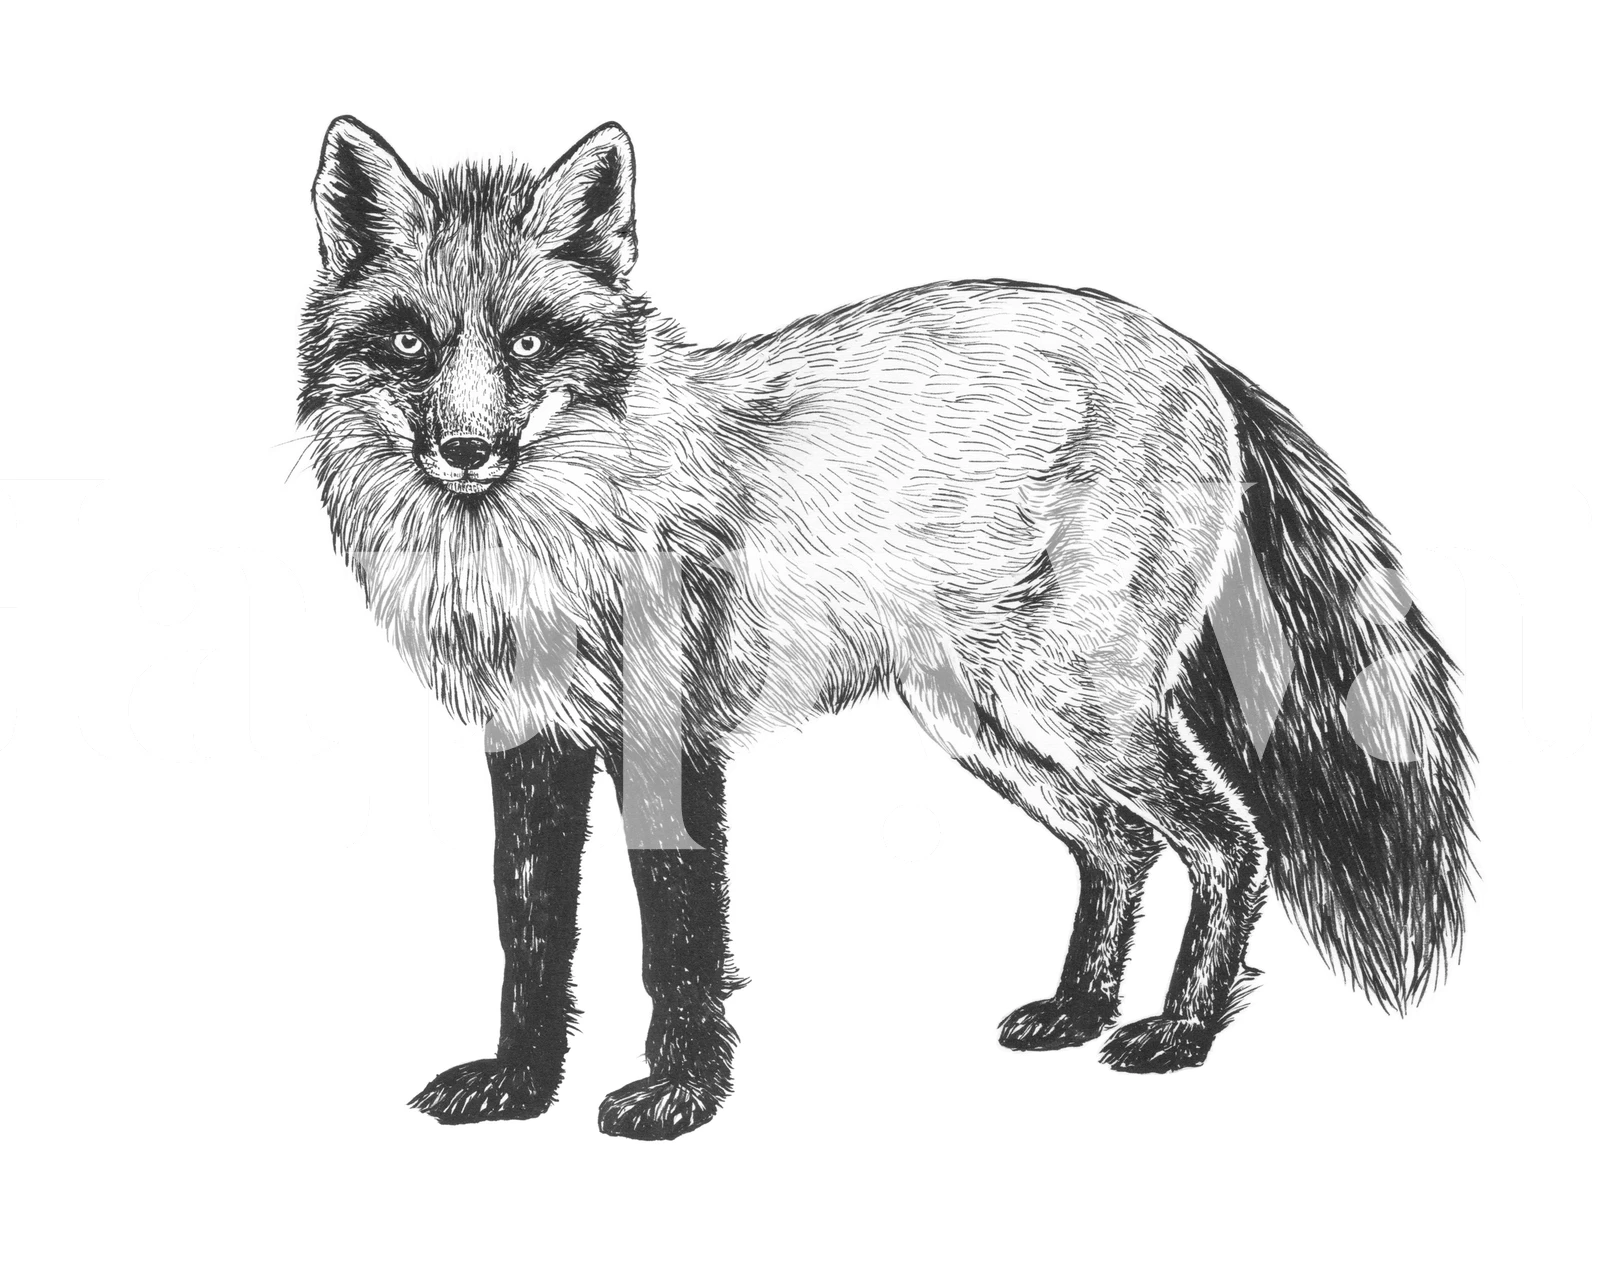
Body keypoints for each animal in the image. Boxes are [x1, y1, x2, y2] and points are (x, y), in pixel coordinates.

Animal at [298, 117, 1473, 1140]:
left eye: (532, 341)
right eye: (407, 340)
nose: (464, 451)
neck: (534, 554)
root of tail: (1186, 346)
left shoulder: (668, 736)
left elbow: (679, 944)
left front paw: (679, 1096)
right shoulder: (530, 739)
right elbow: (530, 935)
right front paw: (518, 1085)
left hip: (1082, 705)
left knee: (1229, 842)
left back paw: (1179, 1033)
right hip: (981, 719)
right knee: (1122, 842)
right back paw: (1077, 1011)